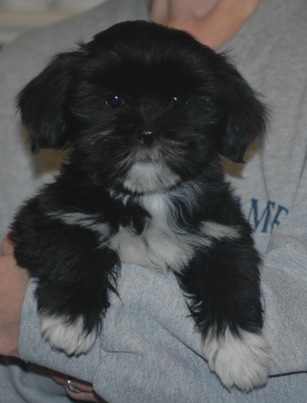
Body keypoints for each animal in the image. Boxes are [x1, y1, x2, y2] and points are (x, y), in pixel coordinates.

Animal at [12, 21, 270, 392]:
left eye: (179, 100)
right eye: (113, 99)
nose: (148, 132)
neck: (148, 198)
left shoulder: (221, 230)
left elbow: (231, 273)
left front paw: (240, 350)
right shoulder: (45, 215)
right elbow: (75, 246)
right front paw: (70, 319)